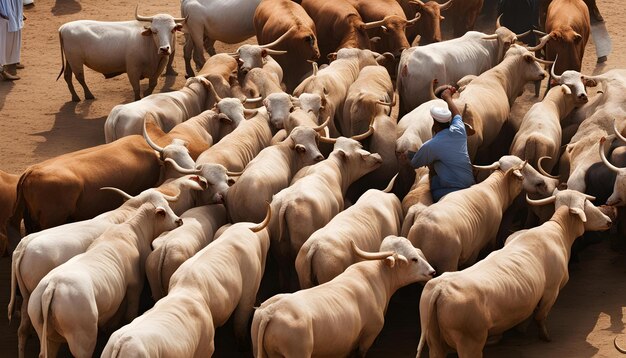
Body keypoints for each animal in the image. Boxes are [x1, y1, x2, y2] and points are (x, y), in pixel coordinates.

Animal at [414, 189, 608, 356]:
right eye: (588, 205)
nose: (609, 220)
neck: (558, 231)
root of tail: (440, 288)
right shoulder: (551, 291)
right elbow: (540, 316)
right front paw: (545, 337)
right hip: (469, 342)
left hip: (434, 341)